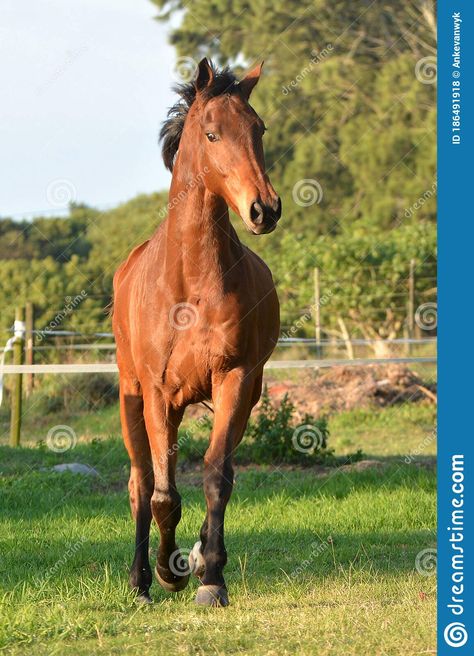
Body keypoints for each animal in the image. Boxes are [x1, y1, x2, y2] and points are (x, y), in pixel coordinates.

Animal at [111, 59, 282, 608]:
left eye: (259, 129)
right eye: (211, 134)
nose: (264, 209)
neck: (190, 285)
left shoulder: (234, 380)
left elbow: (216, 476)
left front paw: (210, 576)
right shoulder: (158, 393)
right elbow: (162, 495)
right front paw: (169, 574)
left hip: (243, 397)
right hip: (132, 396)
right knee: (141, 484)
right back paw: (141, 581)